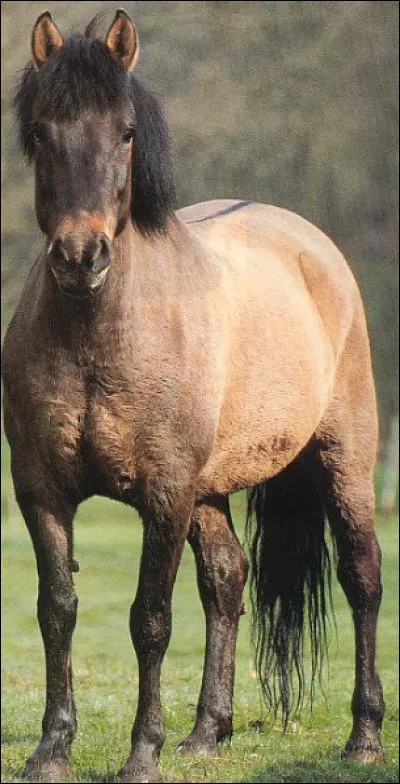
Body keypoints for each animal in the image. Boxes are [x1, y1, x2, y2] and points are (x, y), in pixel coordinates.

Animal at [2, 9, 385, 783]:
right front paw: (52, 749)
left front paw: (141, 753)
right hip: (210, 490)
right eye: (42, 131)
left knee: (361, 578)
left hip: (344, 461)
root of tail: (310, 244)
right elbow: (57, 609)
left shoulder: (164, 494)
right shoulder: (41, 491)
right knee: (227, 580)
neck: (99, 333)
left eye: (125, 131)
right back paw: (208, 732)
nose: (80, 257)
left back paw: (363, 736)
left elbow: (149, 618)